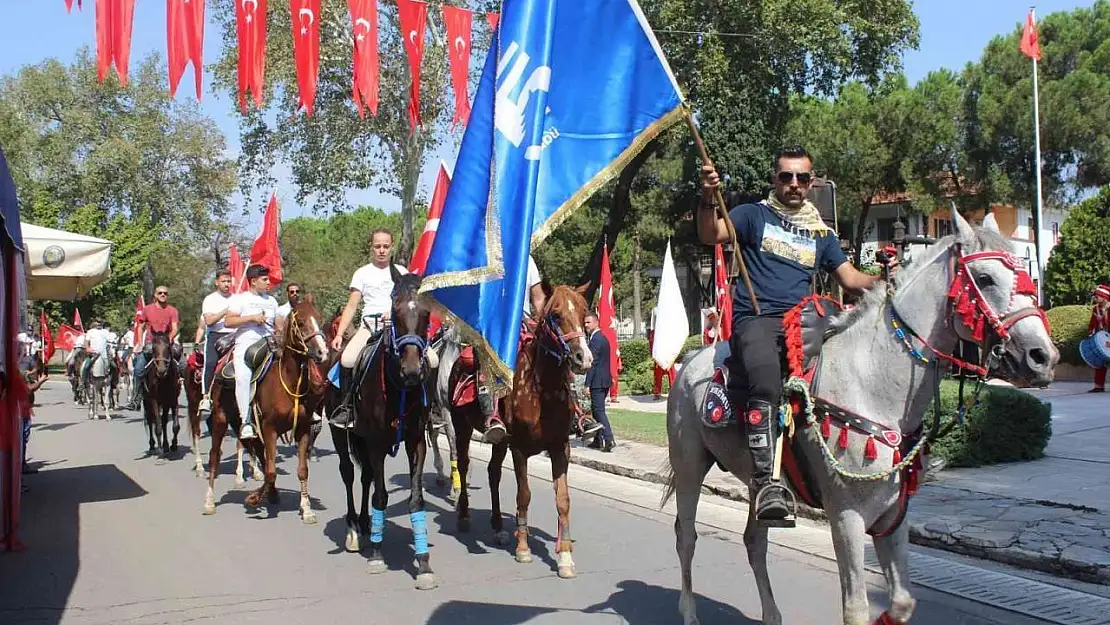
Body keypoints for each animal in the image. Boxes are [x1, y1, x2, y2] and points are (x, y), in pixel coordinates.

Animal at [203, 297, 326, 523]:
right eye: (301, 322)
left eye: (319, 319)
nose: (323, 352)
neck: (288, 382)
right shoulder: (270, 428)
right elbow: (270, 471)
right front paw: (253, 498)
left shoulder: (302, 429)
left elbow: (302, 470)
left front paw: (307, 509)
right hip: (220, 419)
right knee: (214, 456)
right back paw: (209, 501)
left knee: (258, 452)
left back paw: (273, 493)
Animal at [330, 269, 435, 590]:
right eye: (395, 310)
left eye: (427, 313)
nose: (412, 371)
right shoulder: (376, 443)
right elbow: (381, 496)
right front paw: (377, 555)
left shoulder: (416, 442)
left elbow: (415, 498)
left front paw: (424, 564)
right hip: (342, 435)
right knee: (349, 474)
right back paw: (354, 528)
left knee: (365, 477)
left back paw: (366, 524)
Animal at [446, 280, 594, 581]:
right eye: (556, 315)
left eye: (585, 313)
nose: (583, 358)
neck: (541, 389)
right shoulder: (520, 449)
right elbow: (523, 495)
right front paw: (523, 549)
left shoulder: (560, 447)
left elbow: (563, 500)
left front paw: (564, 557)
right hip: (462, 427)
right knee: (464, 465)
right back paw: (464, 516)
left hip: (500, 442)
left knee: (493, 473)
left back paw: (498, 527)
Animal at [657, 209, 1056, 625]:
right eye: (985, 278)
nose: (1042, 356)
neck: (873, 384)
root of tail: (690, 361)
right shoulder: (846, 515)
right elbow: (856, 607)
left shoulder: (893, 514)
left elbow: (901, 602)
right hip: (689, 465)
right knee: (686, 536)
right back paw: (689, 613)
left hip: (757, 482)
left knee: (755, 540)